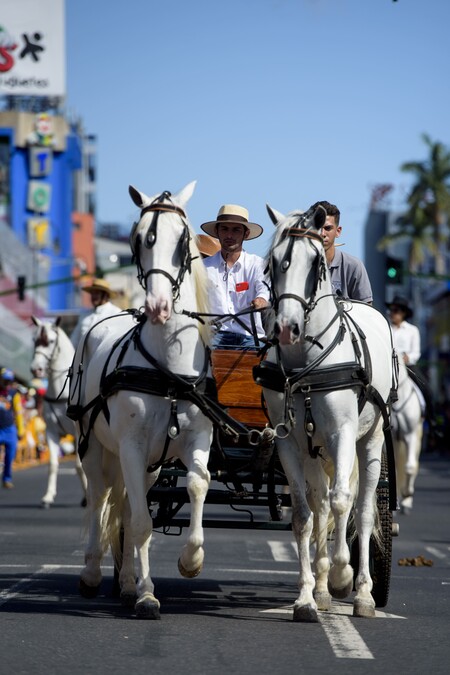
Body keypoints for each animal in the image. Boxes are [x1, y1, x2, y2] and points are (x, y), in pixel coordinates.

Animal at [30, 320, 87, 510]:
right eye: (34, 340)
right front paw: (48, 497)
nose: (36, 369)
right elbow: (52, 464)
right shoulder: (51, 432)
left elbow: (79, 466)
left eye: (50, 341)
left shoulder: (78, 434)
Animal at [68, 182, 214, 620]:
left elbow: (197, 484)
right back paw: (94, 574)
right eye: (137, 239)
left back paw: (128, 582)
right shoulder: (130, 445)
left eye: (183, 241)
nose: (158, 306)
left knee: (128, 504)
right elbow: (141, 524)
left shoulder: (195, 440)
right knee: (102, 496)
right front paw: (149, 596)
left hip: (151, 463)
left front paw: (191, 560)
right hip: (95, 445)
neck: (169, 373)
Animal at [258, 206, 396, 624]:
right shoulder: (289, 441)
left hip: (370, 441)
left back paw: (362, 591)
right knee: (320, 503)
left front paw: (341, 575)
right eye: (272, 262)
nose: (287, 328)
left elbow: (343, 503)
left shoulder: (342, 434)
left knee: (361, 509)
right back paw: (320, 588)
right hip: (313, 449)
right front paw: (306, 596)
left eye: (315, 262)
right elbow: (304, 515)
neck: (307, 361)